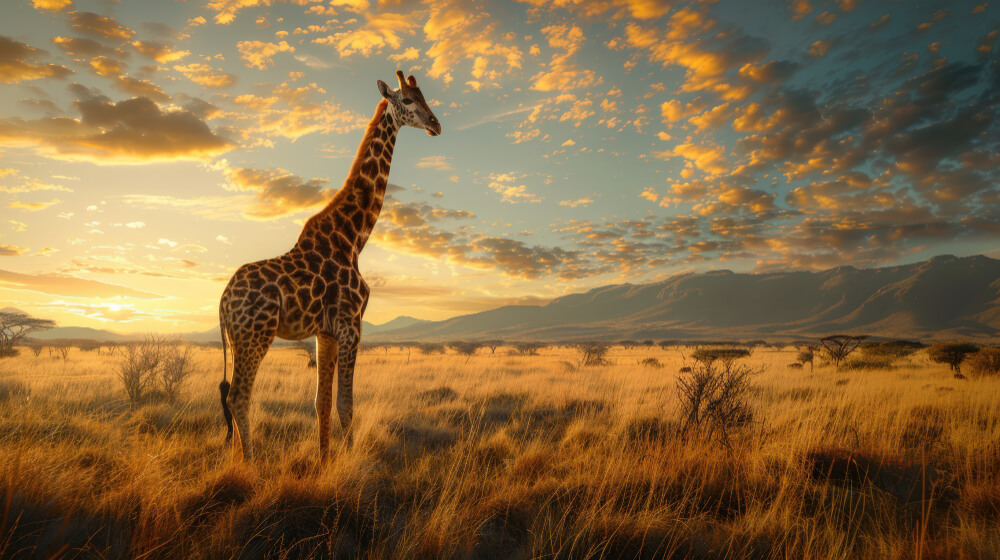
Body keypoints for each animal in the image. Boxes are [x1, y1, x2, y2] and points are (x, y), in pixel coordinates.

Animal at [218, 71, 441, 461]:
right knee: (238, 397)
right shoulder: (351, 325)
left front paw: (324, 462)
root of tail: (223, 301)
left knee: (233, 399)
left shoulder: (325, 331)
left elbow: (321, 403)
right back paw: (251, 464)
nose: (436, 124)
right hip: (255, 335)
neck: (353, 237)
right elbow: (345, 404)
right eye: (408, 100)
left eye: (425, 97)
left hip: (238, 338)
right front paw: (347, 463)